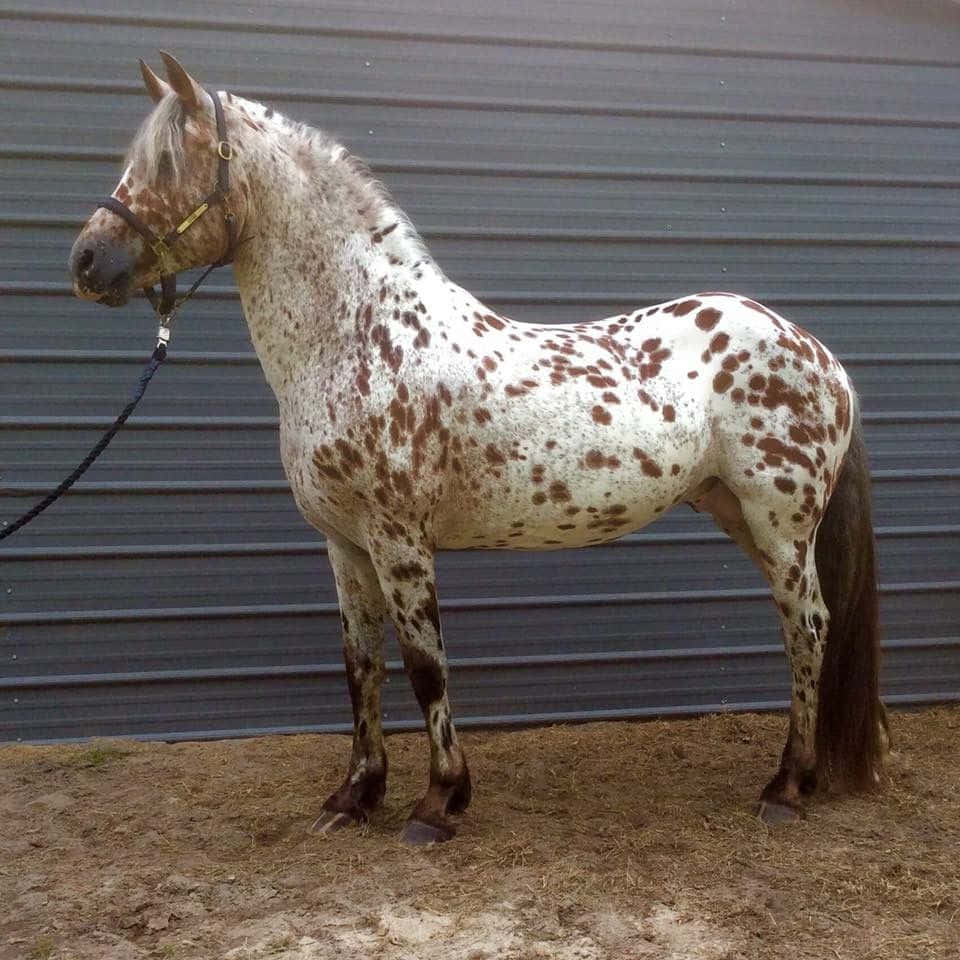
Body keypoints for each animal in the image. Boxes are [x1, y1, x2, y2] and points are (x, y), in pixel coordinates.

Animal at [69, 53, 888, 844]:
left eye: (171, 162)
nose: (85, 261)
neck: (360, 338)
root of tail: (820, 353)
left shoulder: (399, 540)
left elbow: (425, 667)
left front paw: (438, 804)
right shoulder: (344, 544)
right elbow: (360, 666)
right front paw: (354, 797)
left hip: (779, 524)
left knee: (808, 627)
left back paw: (787, 788)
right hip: (742, 517)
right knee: (806, 625)